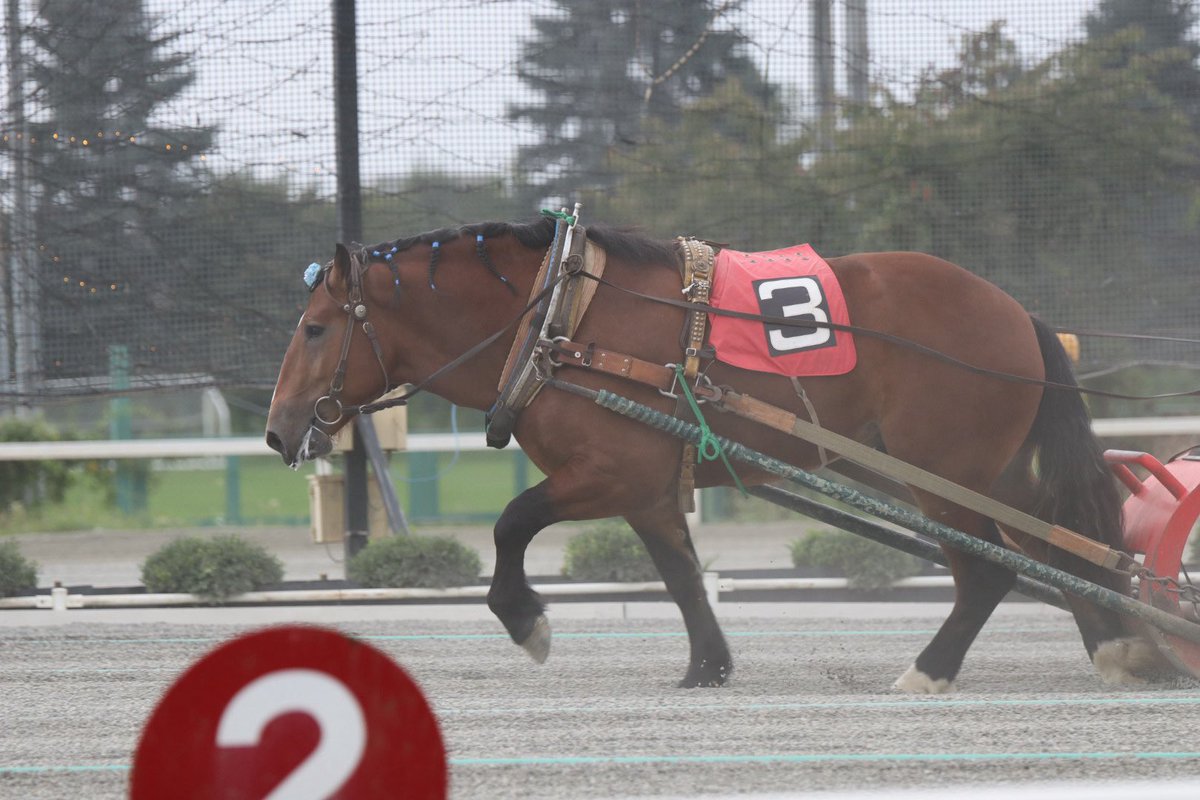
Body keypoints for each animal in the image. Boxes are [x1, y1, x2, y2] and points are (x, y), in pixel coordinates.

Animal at [265, 215, 1164, 692]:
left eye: (314, 328)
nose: (277, 429)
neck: (562, 319)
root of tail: (1015, 311)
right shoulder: (649, 487)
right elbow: (680, 573)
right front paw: (708, 664)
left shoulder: (609, 474)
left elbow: (512, 523)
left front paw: (526, 619)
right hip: (987, 474)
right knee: (1057, 548)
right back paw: (1118, 644)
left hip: (943, 475)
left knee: (992, 569)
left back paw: (932, 668)